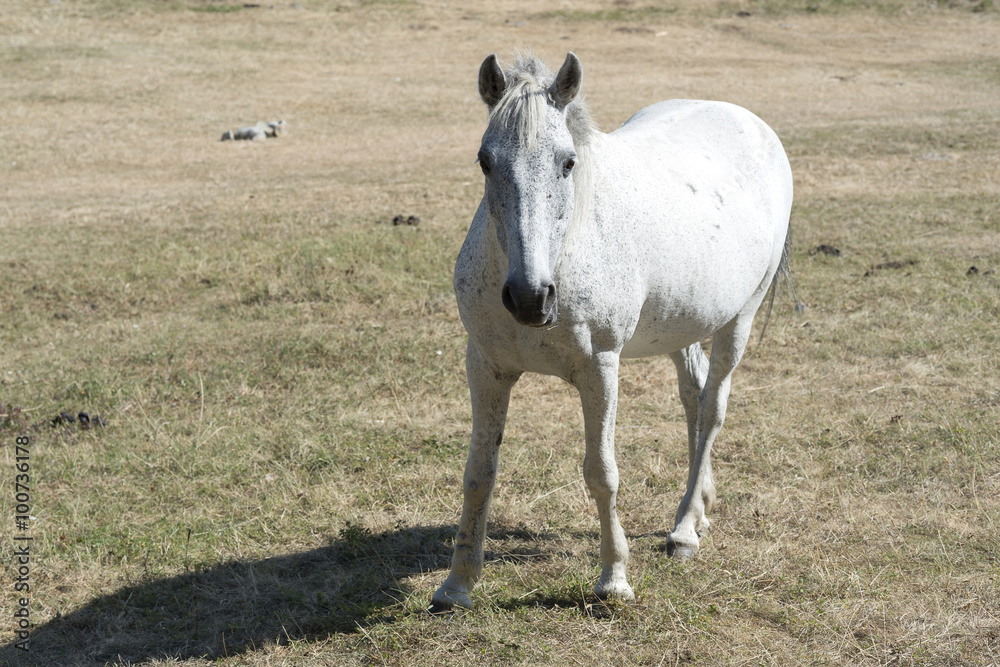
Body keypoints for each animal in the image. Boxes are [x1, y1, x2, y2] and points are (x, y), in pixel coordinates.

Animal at [432, 52, 793, 610]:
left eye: (567, 162)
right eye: (485, 161)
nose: (530, 298)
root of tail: (751, 123)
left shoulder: (600, 368)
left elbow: (601, 473)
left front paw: (613, 579)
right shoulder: (485, 366)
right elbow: (478, 474)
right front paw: (457, 584)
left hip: (740, 318)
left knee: (713, 407)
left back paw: (684, 530)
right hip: (682, 324)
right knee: (694, 397)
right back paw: (699, 506)